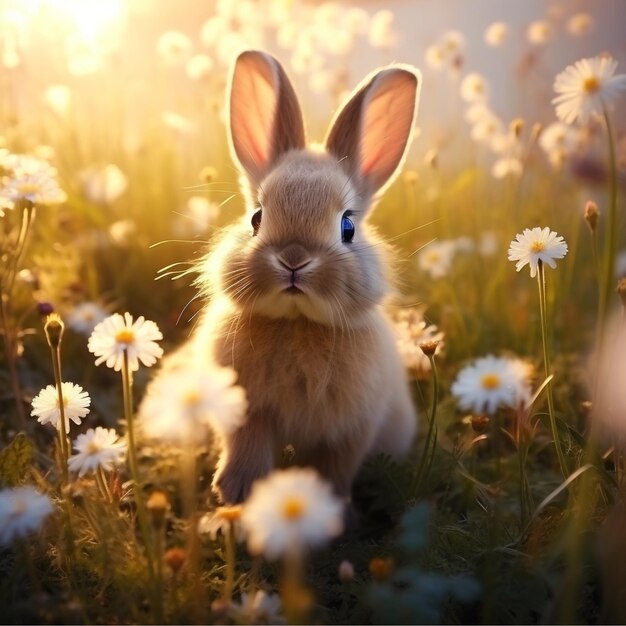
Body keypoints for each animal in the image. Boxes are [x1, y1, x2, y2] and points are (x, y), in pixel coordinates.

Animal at [149, 51, 420, 504]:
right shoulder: (246, 415)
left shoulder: (349, 430)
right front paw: (236, 493)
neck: (296, 322)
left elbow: (334, 467)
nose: (294, 259)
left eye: (347, 227)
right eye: (256, 218)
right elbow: (247, 450)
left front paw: (325, 506)